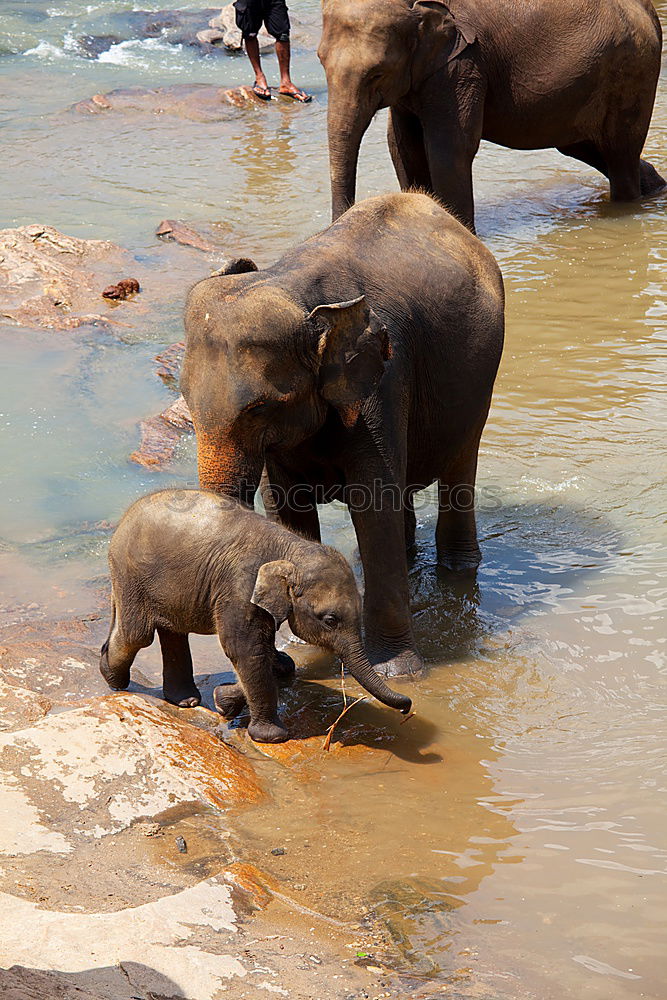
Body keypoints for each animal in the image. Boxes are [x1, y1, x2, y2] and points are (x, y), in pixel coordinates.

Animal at [100, 488, 412, 740]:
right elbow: (246, 649)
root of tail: (123, 520)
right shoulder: (239, 587)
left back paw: (185, 701)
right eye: (330, 620)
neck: (290, 547)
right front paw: (272, 737)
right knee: (138, 634)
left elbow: (264, 652)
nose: (408, 706)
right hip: (131, 576)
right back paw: (112, 677)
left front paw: (224, 700)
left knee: (172, 630)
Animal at [180, 193, 504, 680]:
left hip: (478, 381)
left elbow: (374, 503)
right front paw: (297, 644)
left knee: (459, 468)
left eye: (260, 408)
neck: (294, 289)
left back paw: (459, 570)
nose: (280, 664)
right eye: (184, 399)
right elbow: (286, 508)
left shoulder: (383, 384)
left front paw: (399, 673)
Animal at [320, 0, 667, 230]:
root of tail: (650, 11)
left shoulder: (463, 66)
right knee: (587, 147)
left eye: (376, 74)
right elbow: (404, 147)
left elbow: (448, 149)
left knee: (619, 153)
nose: (337, 226)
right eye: (321, 60)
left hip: (632, 73)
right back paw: (655, 186)